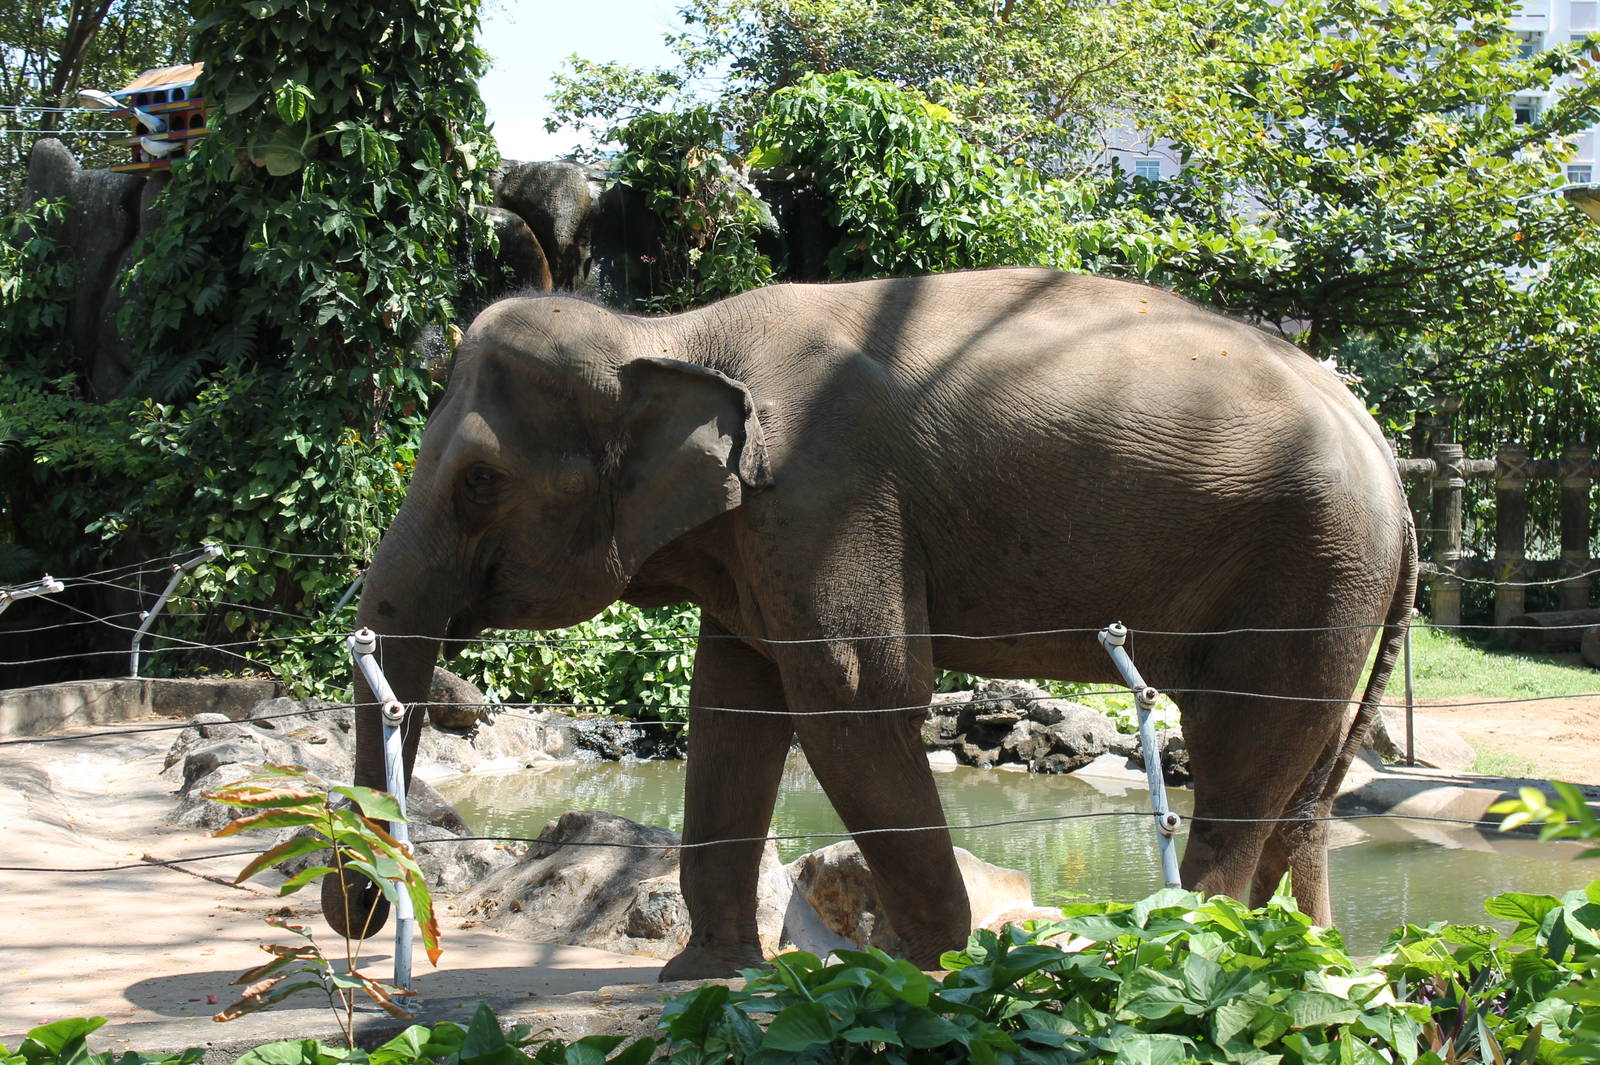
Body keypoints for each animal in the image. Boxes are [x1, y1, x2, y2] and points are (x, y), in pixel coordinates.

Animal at [321, 267, 1417, 981]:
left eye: (477, 483)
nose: (358, 912)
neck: (669, 330)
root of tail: (1387, 455)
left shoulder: (828, 495)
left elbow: (856, 696)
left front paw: (941, 976)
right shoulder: (758, 534)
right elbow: (733, 707)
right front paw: (707, 978)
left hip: (1308, 558)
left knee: (1242, 745)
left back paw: (1195, 951)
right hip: (1327, 577)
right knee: (1298, 766)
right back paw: (1292, 957)